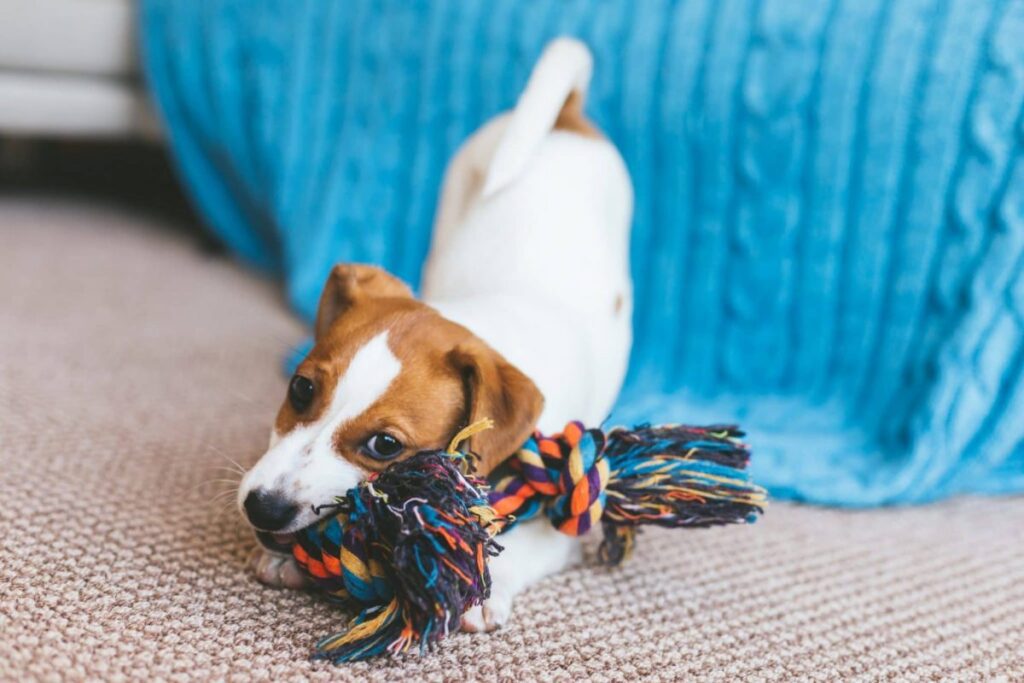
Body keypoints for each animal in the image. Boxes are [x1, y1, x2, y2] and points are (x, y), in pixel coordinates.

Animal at [237, 37, 630, 634]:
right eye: (300, 389)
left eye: (385, 445)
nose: (262, 507)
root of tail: (566, 119)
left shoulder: (563, 513)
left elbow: (527, 544)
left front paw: (484, 588)